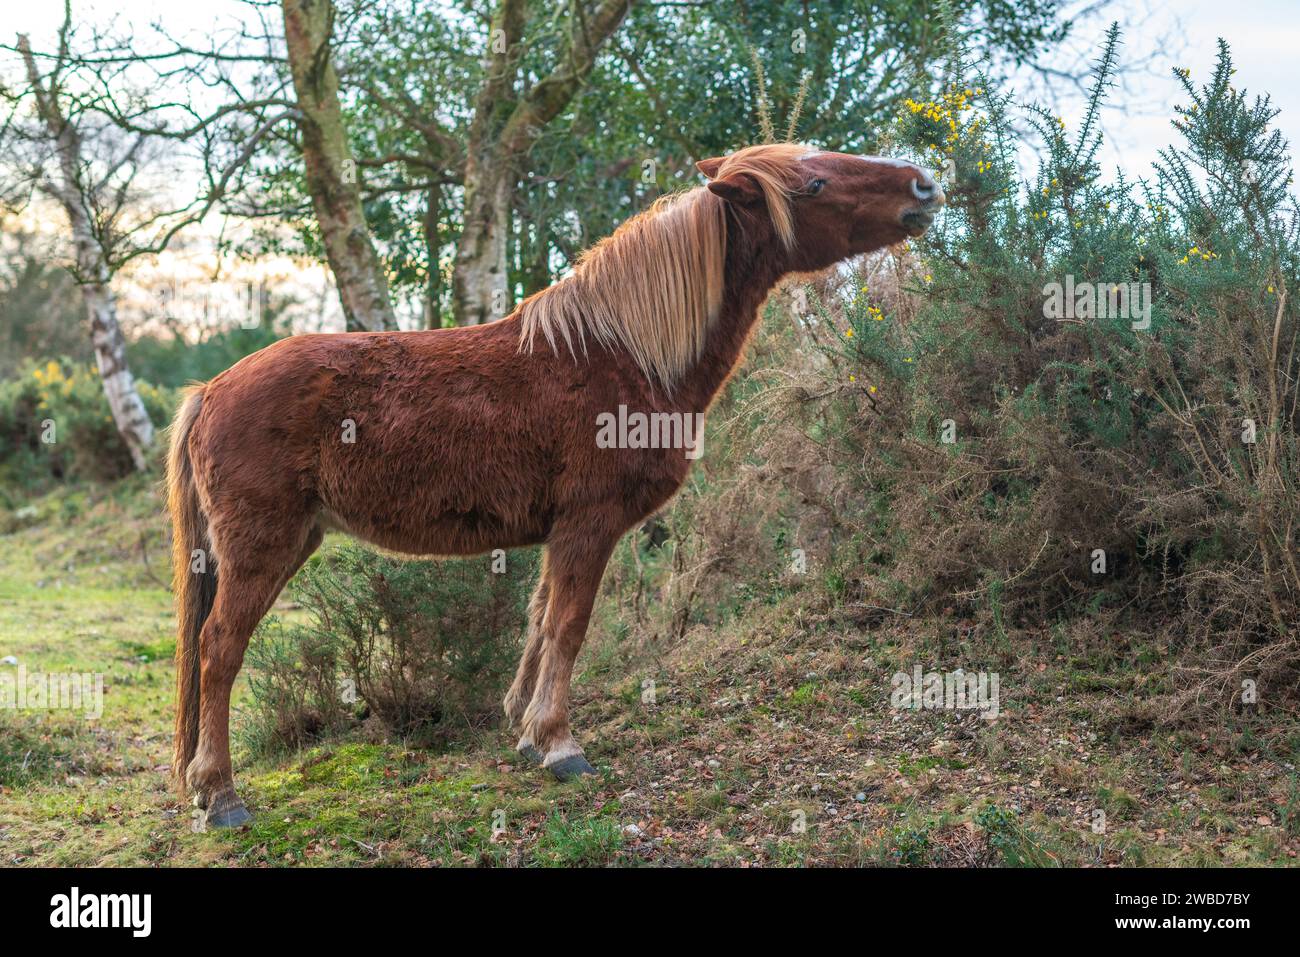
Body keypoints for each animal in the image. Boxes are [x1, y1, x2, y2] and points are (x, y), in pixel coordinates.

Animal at [172, 143, 946, 832]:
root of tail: (212, 389)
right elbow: (570, 628)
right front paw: (559, 745)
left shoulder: (558, 533)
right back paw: (221, 795)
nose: (923, 185)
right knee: (219, 649)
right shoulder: (588, 524)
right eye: (813, 185)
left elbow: (541, 622)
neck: (623, 353)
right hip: (262, 548)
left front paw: (525, 731)